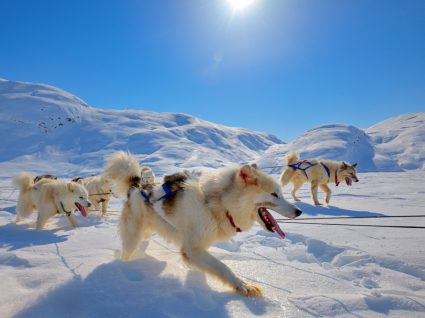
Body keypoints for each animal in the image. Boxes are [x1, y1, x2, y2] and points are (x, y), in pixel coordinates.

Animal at [104, 152, 300, 298]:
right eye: (274, 194)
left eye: (281, 193)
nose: (299, 211)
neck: (216, 205)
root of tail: (137, 186)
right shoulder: (192, 250)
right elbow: (223, 267)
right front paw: (243, 285)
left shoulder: (198, 249)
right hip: (132, 237)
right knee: (126, 253)